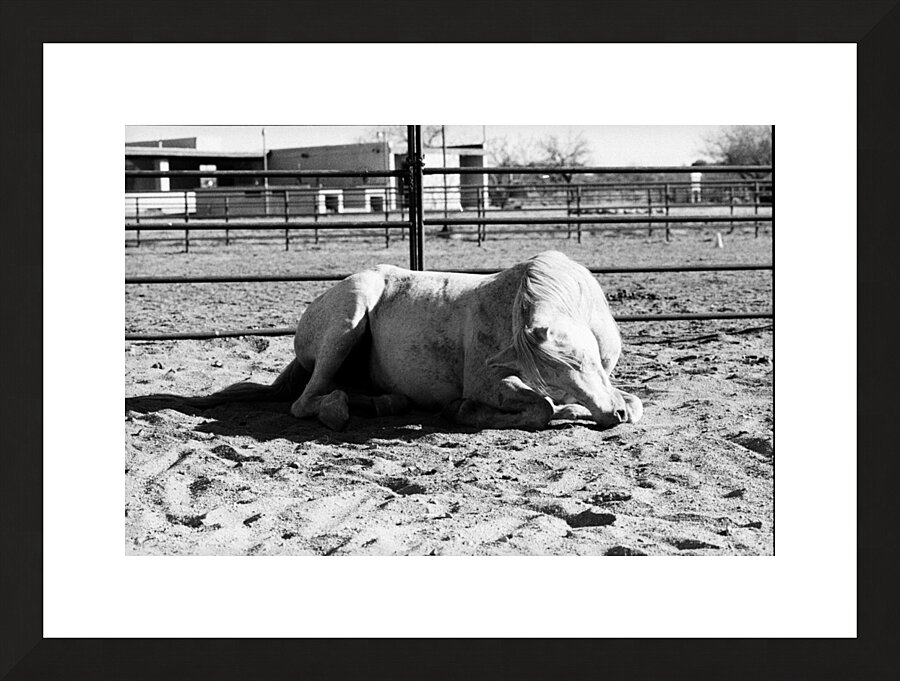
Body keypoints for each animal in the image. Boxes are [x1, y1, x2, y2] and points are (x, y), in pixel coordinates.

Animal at [189, 250, 643, 431]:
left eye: (587, 361)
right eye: (563, 370)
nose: (613, 415)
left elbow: (632, 401)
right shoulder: (488, 383)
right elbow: (541, 408)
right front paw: (461, 411)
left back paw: (383, 403)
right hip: (348, 317)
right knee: (306, 402)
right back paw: (338, 410)